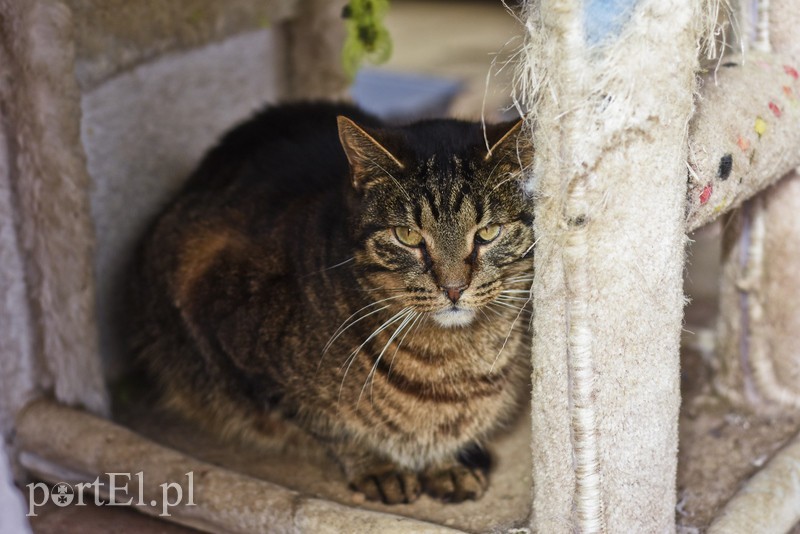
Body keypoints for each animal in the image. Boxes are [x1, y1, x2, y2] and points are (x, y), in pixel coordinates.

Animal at [130, 101, 532, 506]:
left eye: (487, 232)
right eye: (406, 235)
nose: (453, 288)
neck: (453, 365)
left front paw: (445, 464)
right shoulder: (228, 341)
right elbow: (332, 426)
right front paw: (378, 466)